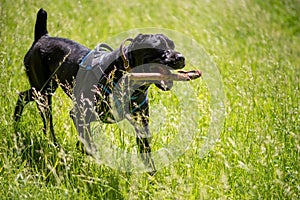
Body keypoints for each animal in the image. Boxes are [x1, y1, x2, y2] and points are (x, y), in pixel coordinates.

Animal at [14, 8, 185, 173]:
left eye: (173, 45)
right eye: (159, 46)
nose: (181, 57)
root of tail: (43, 37)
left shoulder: (141, 123)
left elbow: (147, 155)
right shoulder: (79, 114)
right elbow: (89, 145)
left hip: (43, 89)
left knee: (23, 96)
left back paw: (16, 123)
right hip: (44, 93)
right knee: (47, 123)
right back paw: (53, 143)